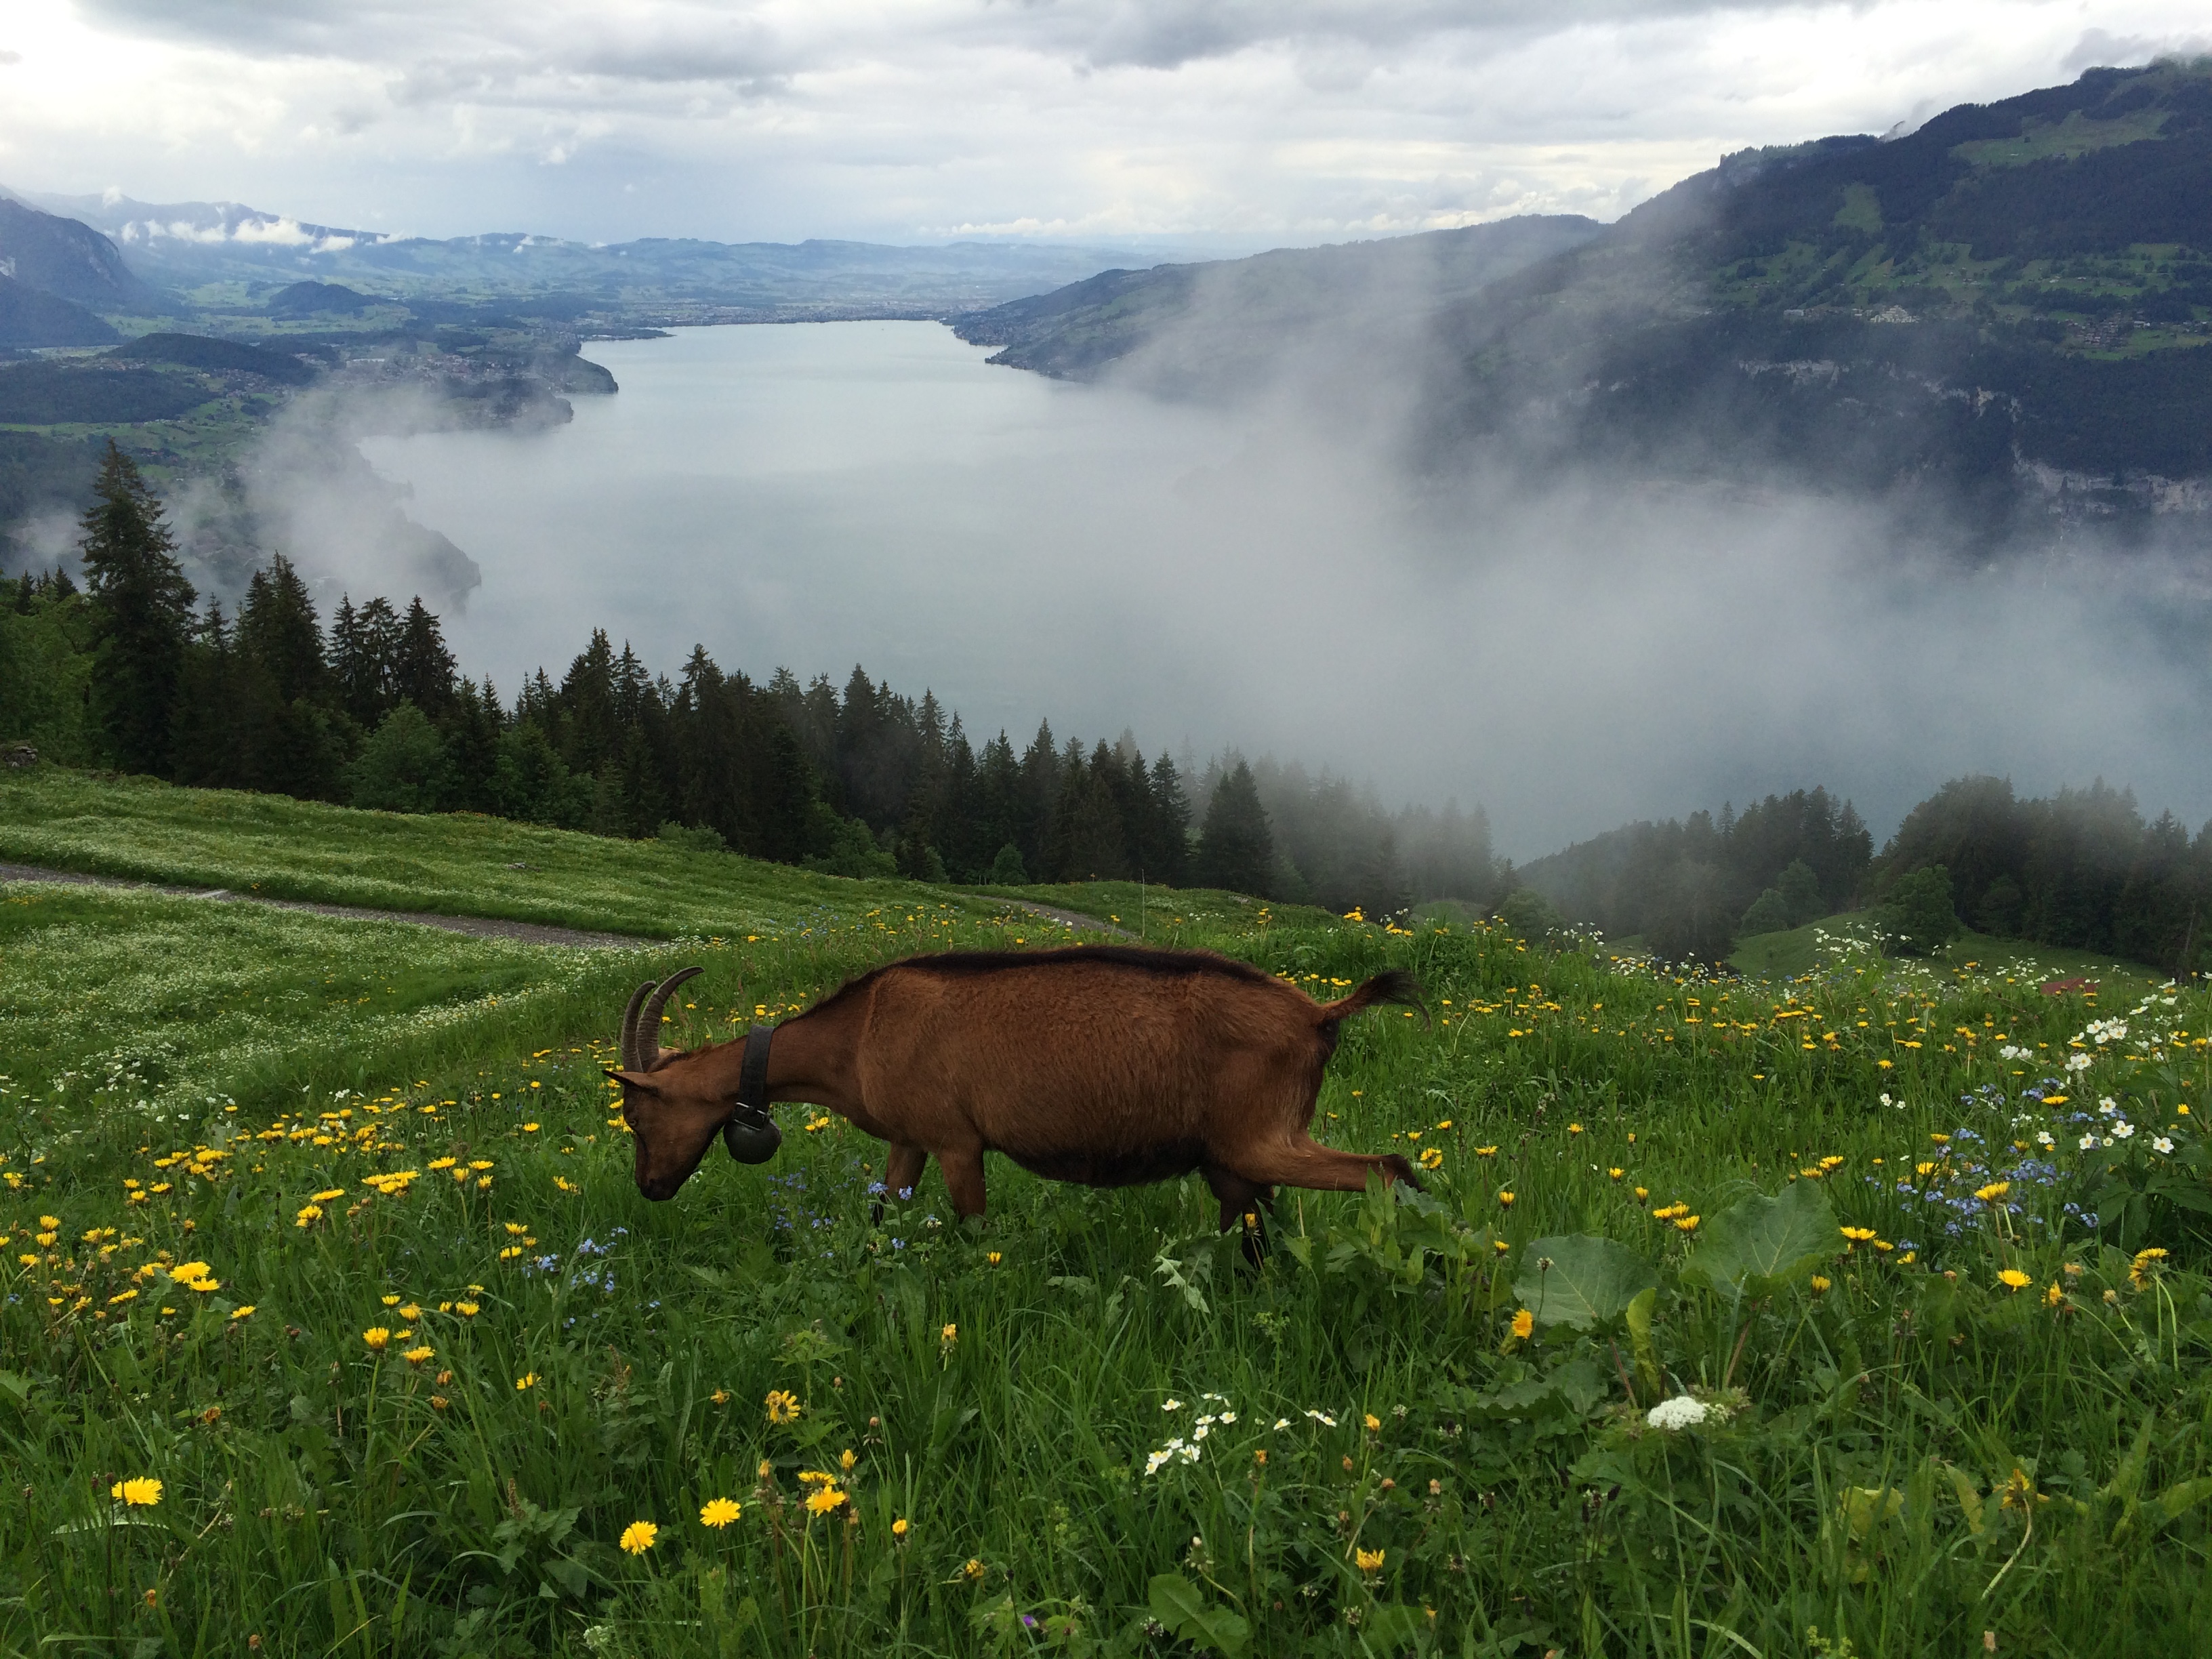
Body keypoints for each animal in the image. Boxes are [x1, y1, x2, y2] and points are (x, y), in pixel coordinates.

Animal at [607, 945, 1426, 1234]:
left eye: (637, 1111)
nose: (648, 1187)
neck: (860, 1030)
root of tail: (1321, 1015)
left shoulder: (958, 1142)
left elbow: (974, 1230)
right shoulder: (910, 1139)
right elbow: (881, 1216)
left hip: (1263, 1136)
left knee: (1387, 1169)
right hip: (1233, 1157)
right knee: (1254, 1221)